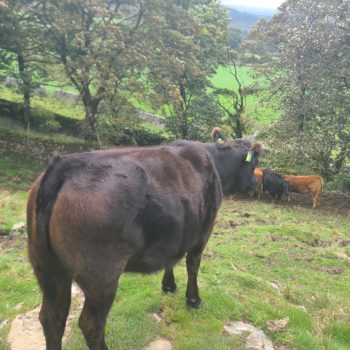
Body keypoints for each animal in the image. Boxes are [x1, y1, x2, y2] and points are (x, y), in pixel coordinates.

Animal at [27, 140, 262, 350]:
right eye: (254, 164)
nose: (255, 185)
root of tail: (64, 164)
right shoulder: (205, 228)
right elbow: (193, 264)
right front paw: (193, 300)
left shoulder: (174, 233)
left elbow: (171, 259)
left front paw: (168, 286)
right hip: (101, 276)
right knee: (90, 325)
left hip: (49, 270)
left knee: (52, 319)